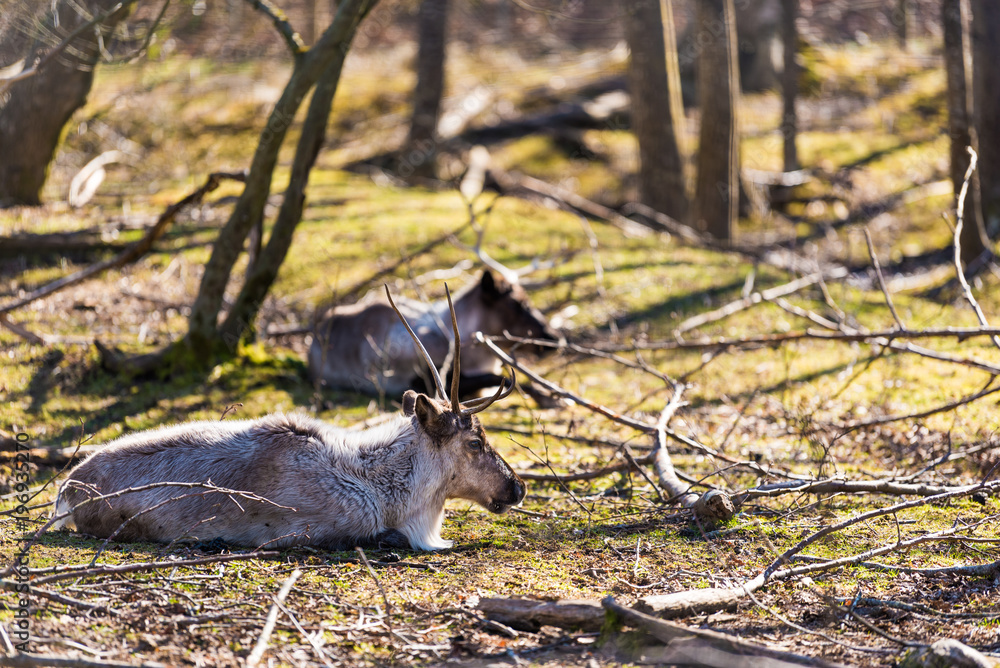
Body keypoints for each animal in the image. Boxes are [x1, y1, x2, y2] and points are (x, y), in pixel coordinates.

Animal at [53, 286, 526, 551]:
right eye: (475, 442)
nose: (518, 487)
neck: (385, 486)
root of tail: (68, 485)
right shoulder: (316, 530)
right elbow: (390, 537)